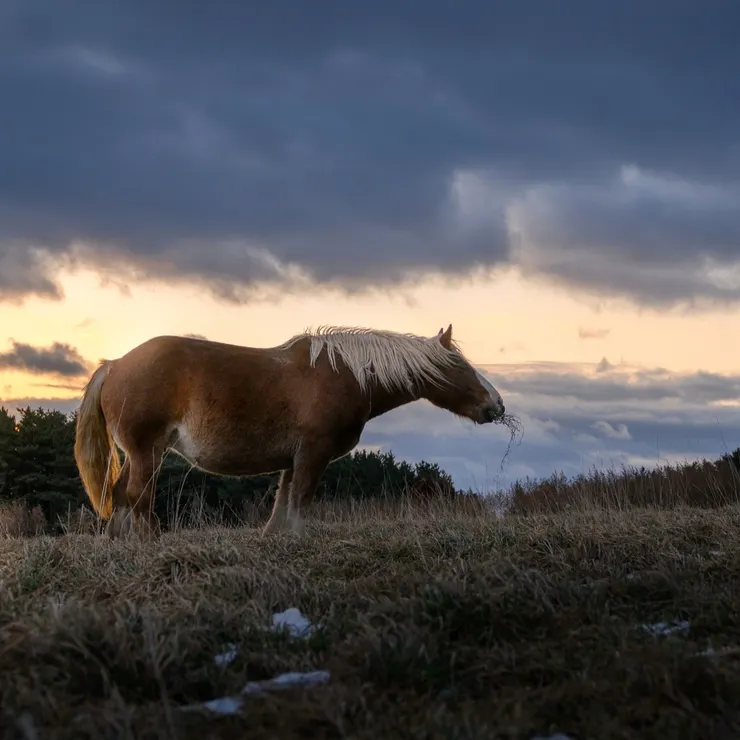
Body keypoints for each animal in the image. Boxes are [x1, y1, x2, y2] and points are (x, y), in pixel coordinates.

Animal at [72, 324, 506, 536]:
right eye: (459, 366)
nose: (496, 406)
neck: (345, 375)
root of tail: (116, 364)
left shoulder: (291, 460)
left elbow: (281, 505)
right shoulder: (313, 454)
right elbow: (299, 503)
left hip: (140, 454)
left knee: (119, 496)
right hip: (147, 452)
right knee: (137, 498)